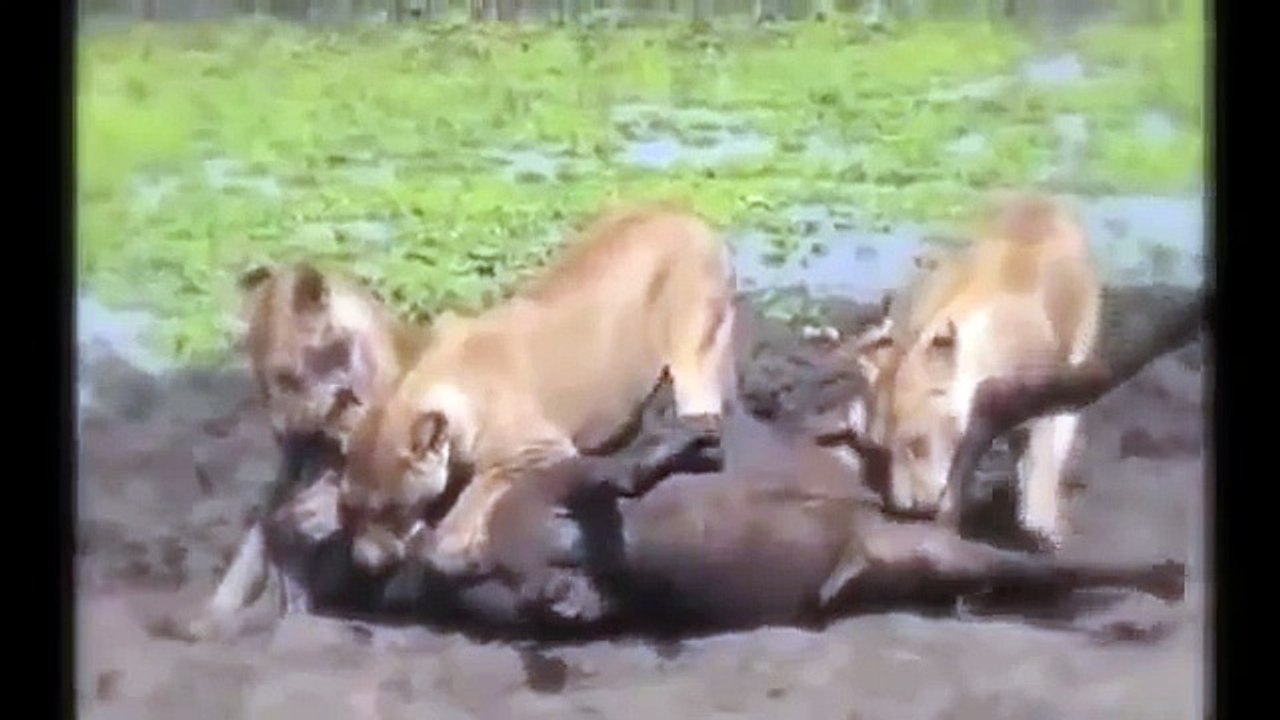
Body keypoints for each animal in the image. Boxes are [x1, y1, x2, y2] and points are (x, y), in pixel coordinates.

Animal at [340, 203, 739, 575]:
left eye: (392, 508)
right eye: (348, 507)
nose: (363, 562)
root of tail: (684, 212)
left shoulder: (535, 450)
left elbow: (477, 492)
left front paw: (455, 542)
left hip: (692, 354)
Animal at [854, 191, 1102, 549]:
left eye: (916, 444)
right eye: (884, 448)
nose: (904, 508)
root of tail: (1039, 197)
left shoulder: (1044, 398)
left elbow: (1040, 453)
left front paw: (1039, 524)